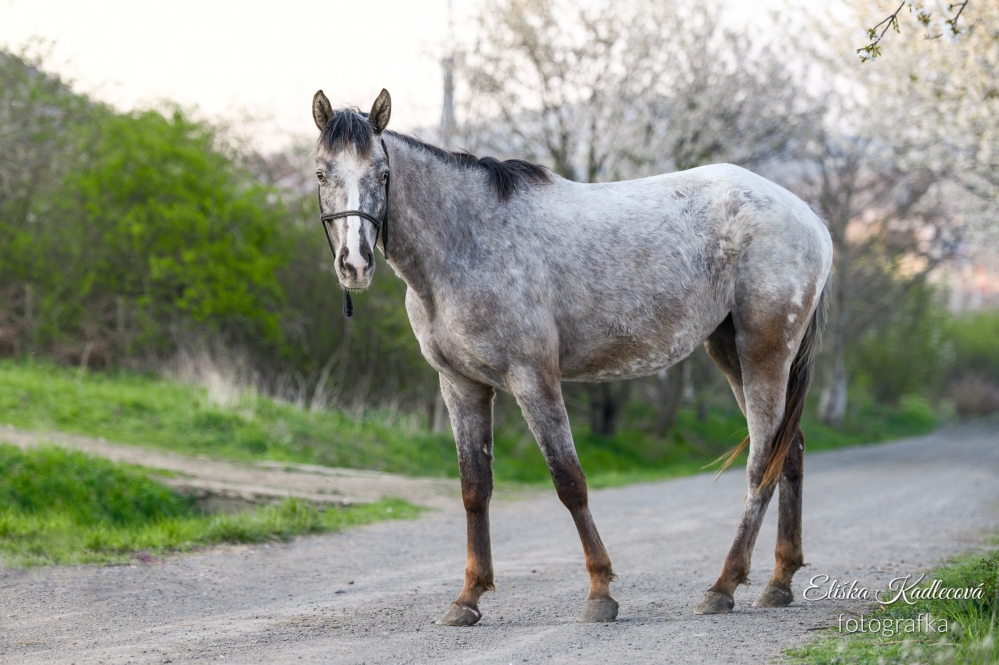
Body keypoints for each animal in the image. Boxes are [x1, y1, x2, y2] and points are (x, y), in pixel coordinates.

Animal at [308, 89, 832, 628]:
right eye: (322, 173)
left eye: (382, 174)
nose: (355, 263)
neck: (467, 241)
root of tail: (807, 216)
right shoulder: (461, 386)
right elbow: (475, 489)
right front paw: (468, 598)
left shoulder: (533, 379)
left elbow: (569, 481)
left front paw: (600, 593)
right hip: (730, 352)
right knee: (789, 452)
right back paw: (778, 582)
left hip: (763, 351)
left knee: (761, 463)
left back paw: (723, 586)